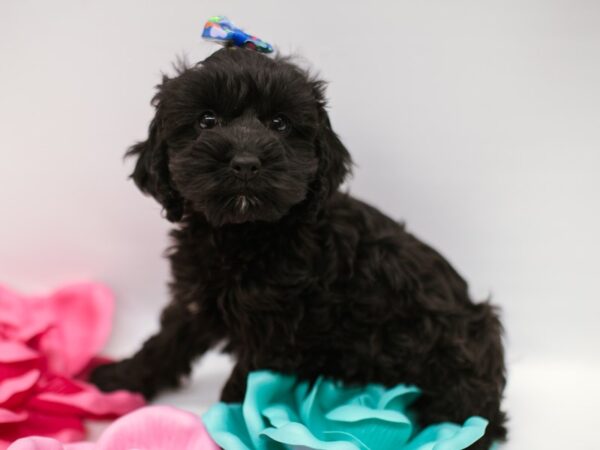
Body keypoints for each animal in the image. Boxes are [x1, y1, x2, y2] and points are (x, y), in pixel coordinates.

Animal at [92, 47, 506, 448]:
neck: (243, 234)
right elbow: (167, 342)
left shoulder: (277, 333)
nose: (245, 163)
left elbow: (241, 387)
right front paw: (120, 378)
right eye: (206, 120)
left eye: (280, 124)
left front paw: (226, 429)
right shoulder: (197, 296)